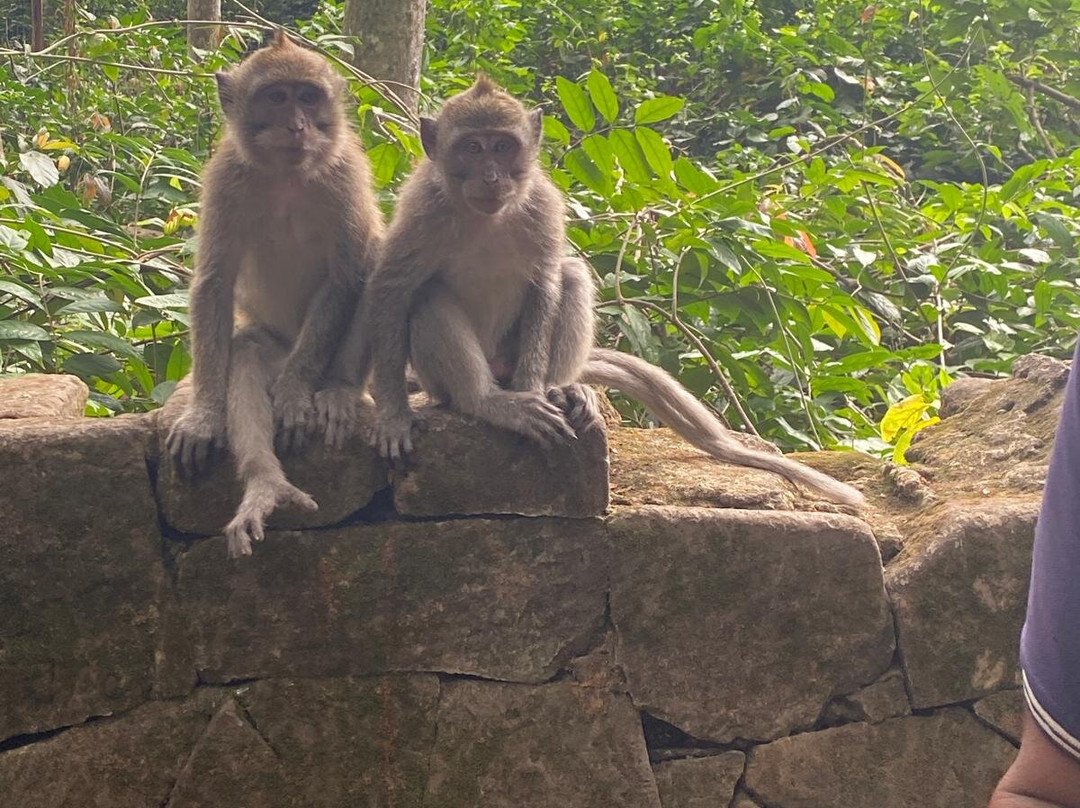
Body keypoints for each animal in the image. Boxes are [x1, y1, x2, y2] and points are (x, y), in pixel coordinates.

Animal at [165, 30, 384, 558]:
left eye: (308, 96)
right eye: (277, 97)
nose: (297, 125)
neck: (287, 174)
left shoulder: (346, 172)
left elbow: (346, 276)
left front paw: (292, 394)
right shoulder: (225, 176)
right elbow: (215, 283)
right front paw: (203, 415)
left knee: (373, 255)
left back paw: (339, 393)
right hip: (271, 349)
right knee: (244, 353)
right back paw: (265, 483)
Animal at [350, 76, 865, 508]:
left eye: (502, 146)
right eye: (472, 148)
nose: (492, 176)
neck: (486, 217)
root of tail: (497, 369)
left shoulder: (544, 206)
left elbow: (546, 282)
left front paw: (534, 389)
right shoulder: (422, 207)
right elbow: (392, 287)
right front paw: (393, 414)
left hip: (513, 354)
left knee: (572, 274)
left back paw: (561, 387)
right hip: (440, 378)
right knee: (428, 298)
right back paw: (487, 402)